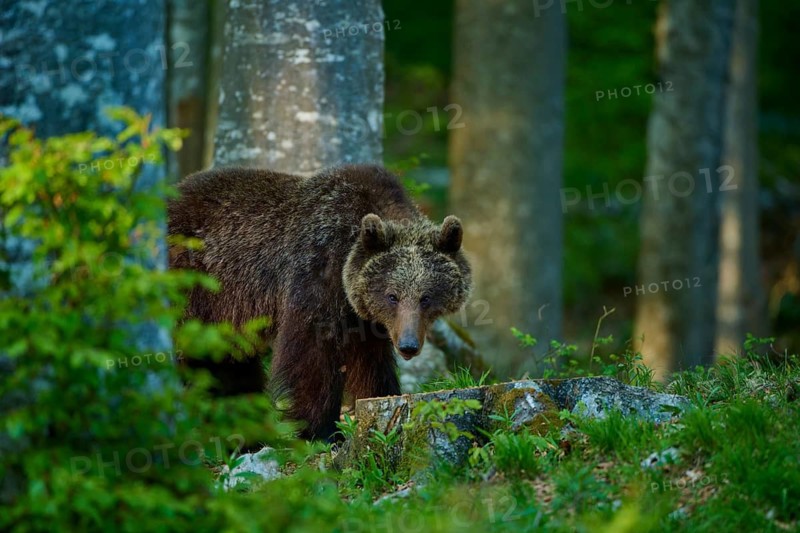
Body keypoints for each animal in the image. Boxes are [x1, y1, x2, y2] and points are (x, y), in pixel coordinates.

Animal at [167, 164, 472, 441]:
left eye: (426, 297)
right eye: (392, 295)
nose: (408, 345)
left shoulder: (362, 314)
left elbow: (371, 361)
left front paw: (382, 398)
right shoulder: (316, 271)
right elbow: (312, 354)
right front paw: (321, 430)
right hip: (193, 285)